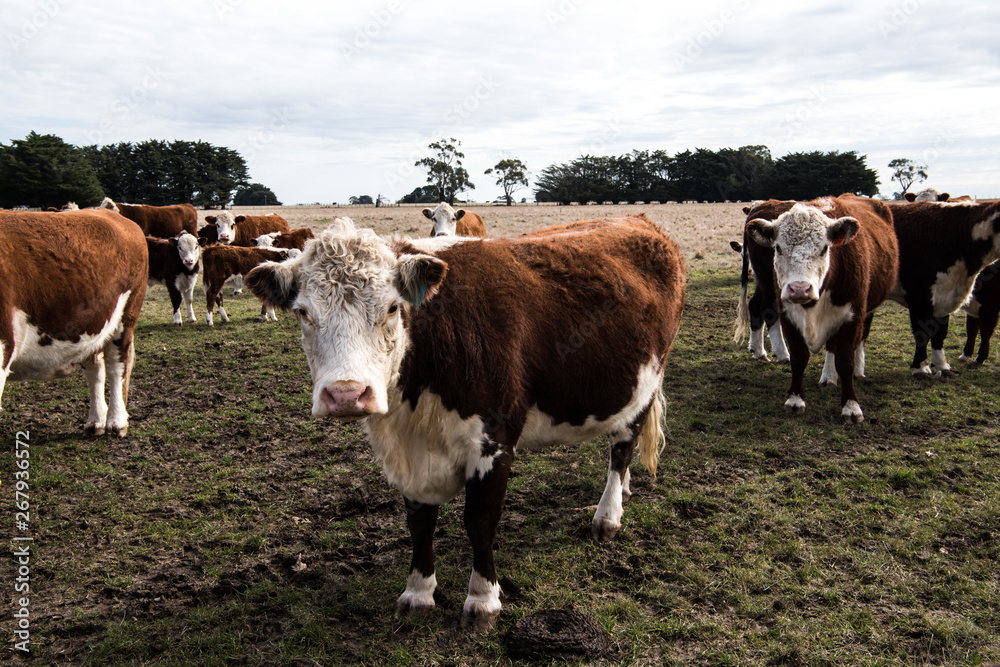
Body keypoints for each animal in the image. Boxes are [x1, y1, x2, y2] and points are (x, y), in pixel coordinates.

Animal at [0, 210, 147, 438]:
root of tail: (112, 213)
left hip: (126, 315)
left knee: (117, 367)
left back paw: (117, 421)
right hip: (92, 324)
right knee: (95, 368)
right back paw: (96, 421)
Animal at [248, 217, 688, 636]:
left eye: (391, 308)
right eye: (303, 312)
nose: (346, 394)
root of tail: (643, 222)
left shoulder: (494, 441)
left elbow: (479, 522)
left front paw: (482, 600)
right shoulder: (413, 455)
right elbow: (419, 523)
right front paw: (418, 592)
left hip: (645, 384)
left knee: (622, 448)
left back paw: (608, 514)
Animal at [744, 194, 900, 422]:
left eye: (825, 248)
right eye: (778, 247)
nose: (800, 288)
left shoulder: (853, 316)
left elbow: (845, 360)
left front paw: (851, 406)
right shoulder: (787, 314)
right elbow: (799, 357)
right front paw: (795, 400)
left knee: (858, 340)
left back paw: (850, 373)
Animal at [888, 198, 1000, 376]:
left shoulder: (945, 293)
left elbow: (940, 332)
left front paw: (942, 365)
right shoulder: (920, 295)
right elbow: (922, 332)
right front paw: (921, 368)